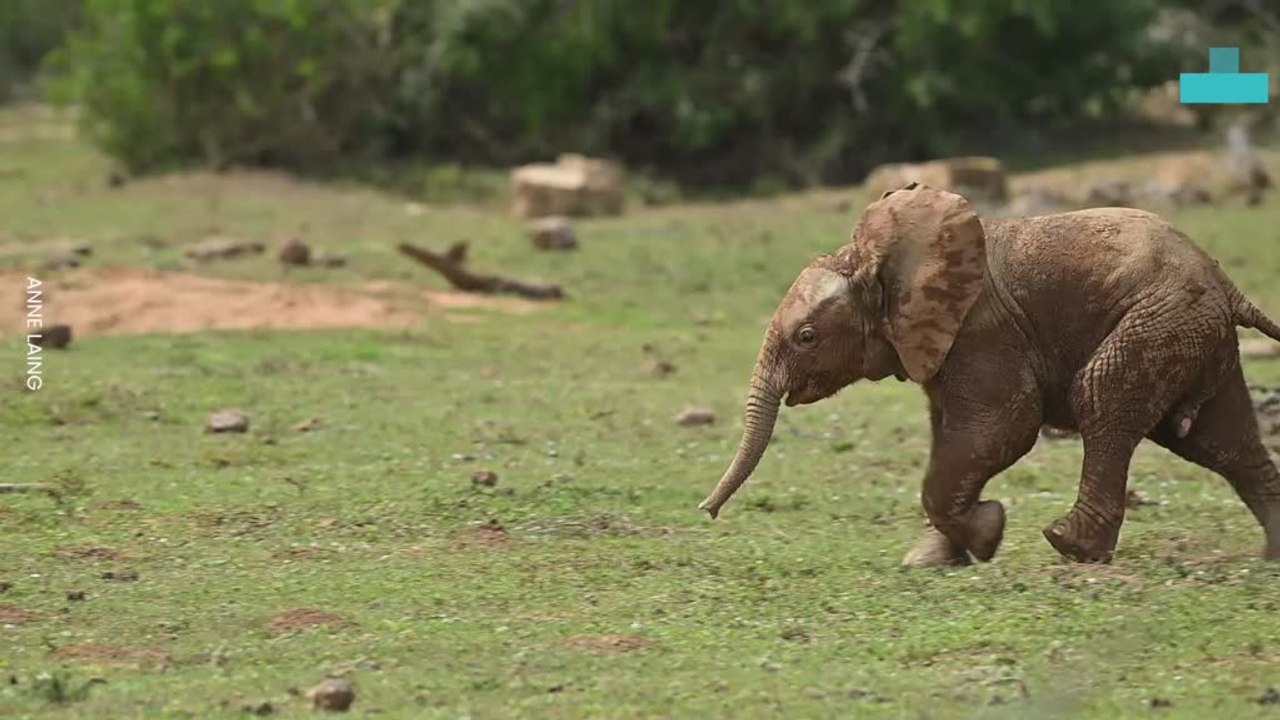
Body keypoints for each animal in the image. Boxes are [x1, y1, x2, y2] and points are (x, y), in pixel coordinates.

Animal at [697, 181, 1280, 566]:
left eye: (806, 337)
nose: (705, 513)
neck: (876, 256)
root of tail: (1228, 286)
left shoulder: (982, 329)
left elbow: (1003, 426)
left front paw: (987, 532)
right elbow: (950, 437)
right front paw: (932, 559)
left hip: (1161, 319)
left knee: (1102, 397)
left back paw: (1069, 546)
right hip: (1189, 330)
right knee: (1223, 441)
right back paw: (1271, 555)